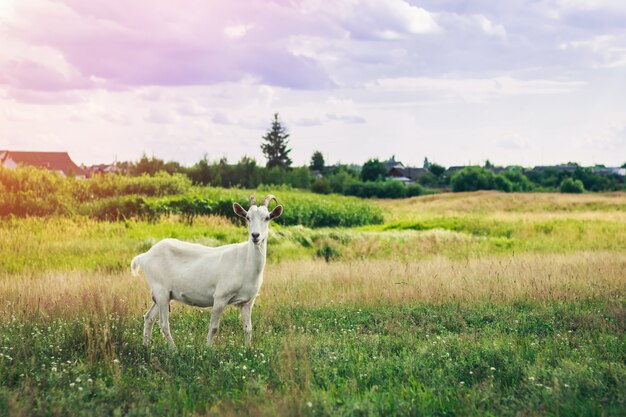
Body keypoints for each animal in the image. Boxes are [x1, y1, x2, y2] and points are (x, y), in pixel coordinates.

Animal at [132, 195, 282, 348]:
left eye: (267, 217)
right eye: (247, 217)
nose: (255, 235)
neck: (245, 261)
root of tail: (144, 256)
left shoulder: (247, 301)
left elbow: (248, 328)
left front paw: (248, 349)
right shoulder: (220, 297)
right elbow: (214, 327)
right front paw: (208, 349)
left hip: (164, 294)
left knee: (148, 317)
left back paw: (146, 346)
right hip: (160, 291)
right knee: (163, 323)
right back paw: (173, 349)